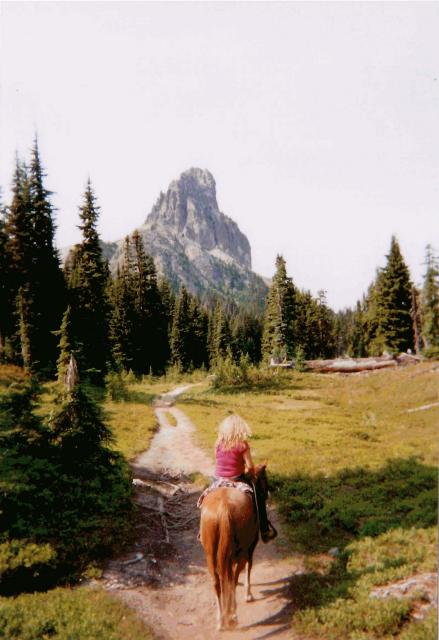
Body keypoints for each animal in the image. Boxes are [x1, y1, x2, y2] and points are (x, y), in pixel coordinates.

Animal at [199, 462, 268, 632]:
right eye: (264, 483)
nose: (268, 494)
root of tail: (224, 508)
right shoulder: (251, 547)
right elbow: (248, 568)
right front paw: (248, 595)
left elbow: (226, 576)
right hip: (242, 552)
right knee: (234, 579)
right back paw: (233, 616)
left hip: (210, 554)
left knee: (217, 582)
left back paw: (220, 620)